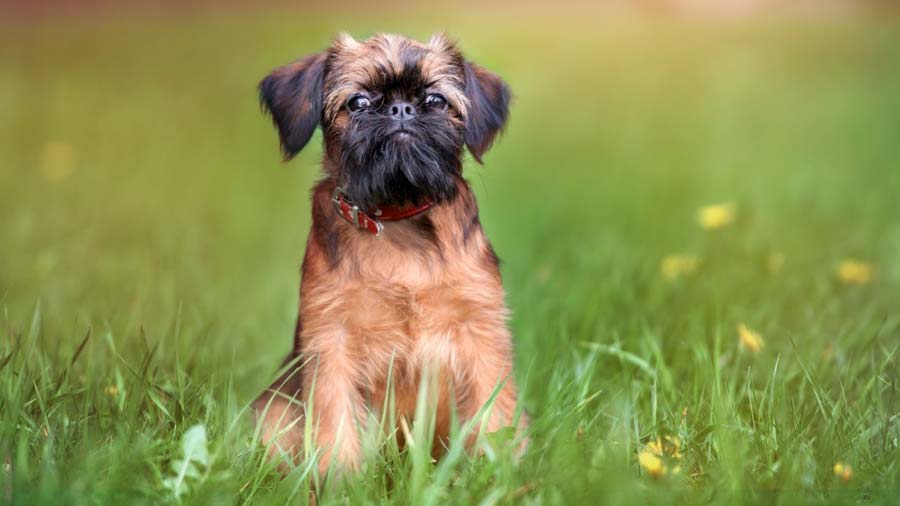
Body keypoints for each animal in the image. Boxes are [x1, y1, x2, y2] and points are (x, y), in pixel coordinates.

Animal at [251, 32, 528, 474]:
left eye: (435, 100)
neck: (398, 215)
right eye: (358, 103)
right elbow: (335, 416)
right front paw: (340, 479)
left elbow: (493, 412)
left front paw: (497, 472)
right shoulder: (332, 340)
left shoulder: (480, 333)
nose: (401, 109)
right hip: (274, 408)